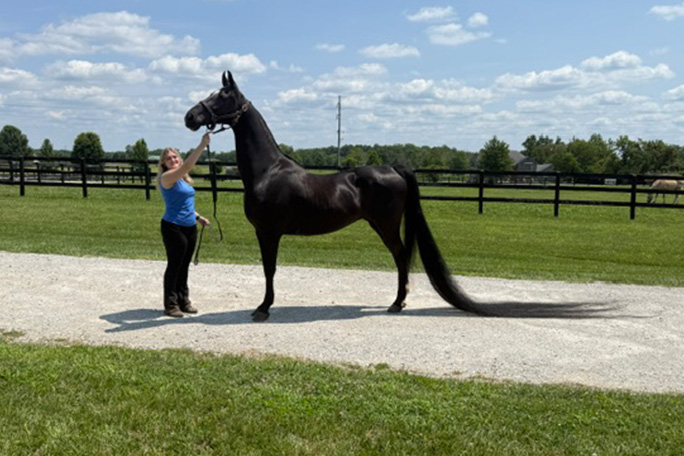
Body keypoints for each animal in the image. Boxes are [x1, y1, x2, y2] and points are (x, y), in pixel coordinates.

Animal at [184, 71, 482, 322]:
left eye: (223, 95)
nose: (190, 117)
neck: (267, 171)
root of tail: (393, 168)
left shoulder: (268, 232)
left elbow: (269, 269)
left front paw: (263, 308)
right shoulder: (264, 232)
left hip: (385, 225)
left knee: (400, 256)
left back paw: (397, 303)